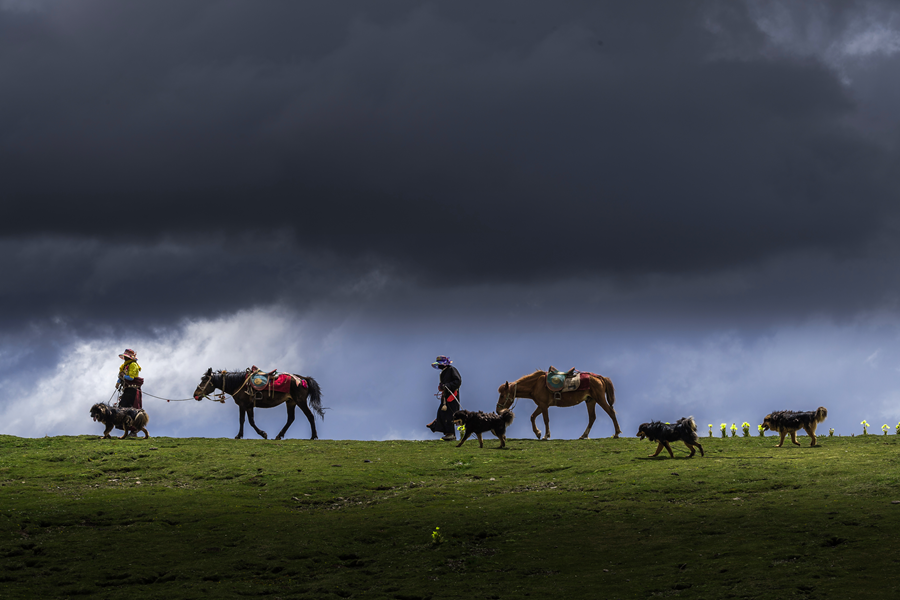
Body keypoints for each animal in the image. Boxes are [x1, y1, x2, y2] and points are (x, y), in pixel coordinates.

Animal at [193, 368, 324, 440]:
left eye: (204, 380)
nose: (195, 394)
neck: (239, 384)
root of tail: (303, 379)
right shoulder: (249, 406)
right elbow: (250, 421)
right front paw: (262, 434)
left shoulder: (243, 405)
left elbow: (243, 420)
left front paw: (241, 435)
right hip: (290, 402)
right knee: (291, 419)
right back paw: (279, 436)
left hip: (300, 401)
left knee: (310, 416)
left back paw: (313, 436)